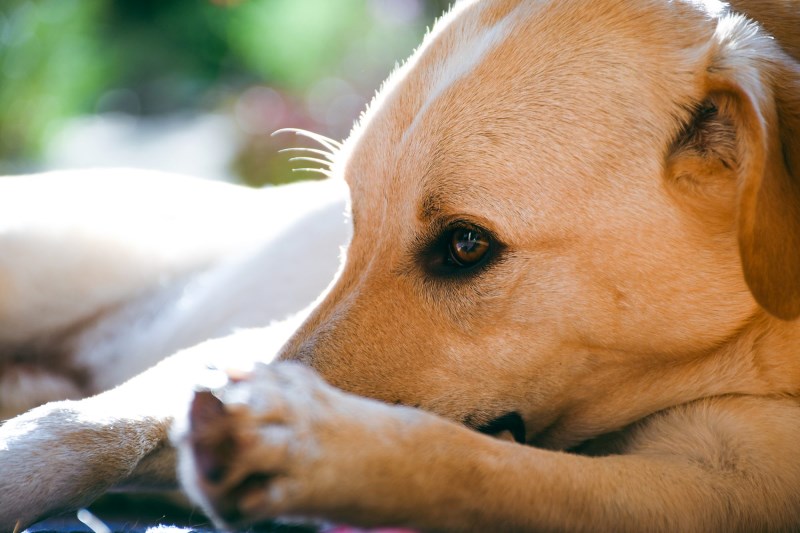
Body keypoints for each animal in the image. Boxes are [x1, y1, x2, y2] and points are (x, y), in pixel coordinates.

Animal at [1, 0, 800, 528]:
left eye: (467, 244)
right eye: (351, 218)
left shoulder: (717, 486)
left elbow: (478, 467)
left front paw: (322, 450)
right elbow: (87, 422)